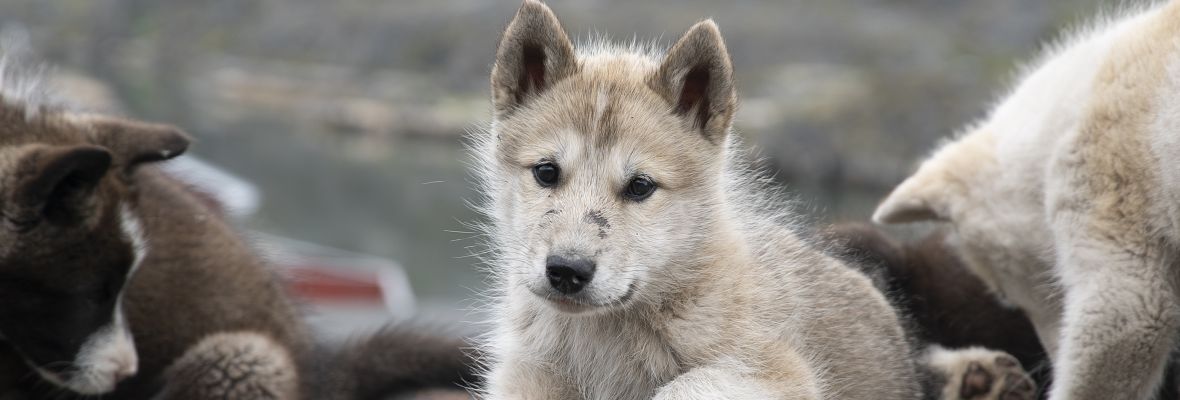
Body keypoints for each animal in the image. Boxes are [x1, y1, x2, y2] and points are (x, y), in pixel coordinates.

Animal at [469, 1, 1033, 398]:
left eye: (641, 186)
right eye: (546, 172)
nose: (567, 271)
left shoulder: (777, 372)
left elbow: (685, 385)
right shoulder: (522, 378)